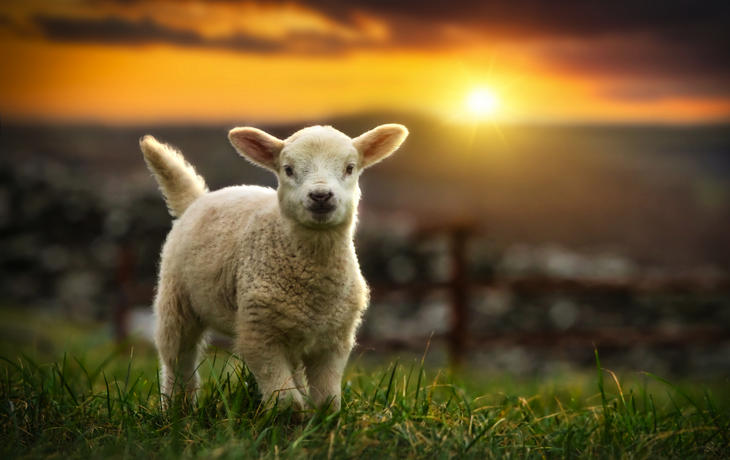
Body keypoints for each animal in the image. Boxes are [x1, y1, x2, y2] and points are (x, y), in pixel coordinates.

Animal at [139, 124, 408, 417]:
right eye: (288, 169)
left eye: (350, 168)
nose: (321, 196)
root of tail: (199, 199)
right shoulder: (258, 333)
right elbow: (285, 401)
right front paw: (289, 420)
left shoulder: (335, 339)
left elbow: (327, 400)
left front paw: (319, 420)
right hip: (176, 299)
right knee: (177, 358)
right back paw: (177, 410)